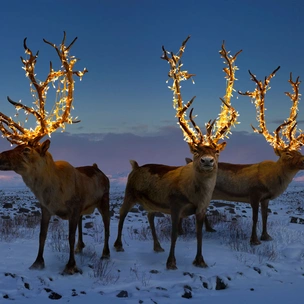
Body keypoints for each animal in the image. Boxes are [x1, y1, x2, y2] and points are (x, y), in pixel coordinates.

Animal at [0, 32, 110, 274]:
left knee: (108, 225)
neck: (51, 190)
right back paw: (81, 247)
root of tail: (98, 168)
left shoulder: (75, 207)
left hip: (104, 200)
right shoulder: (46, 209)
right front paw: (37, 262)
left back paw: (107, 252)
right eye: (15, 146)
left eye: (26, 149)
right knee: (82, 228)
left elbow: (68, 237)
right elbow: (42, 236)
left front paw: (70, 266)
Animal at [114, 36, 240, 270]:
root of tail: (135, 166)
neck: (195, 193)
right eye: (196, 150)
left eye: (216, 151)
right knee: (121, 214)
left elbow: (200, 234)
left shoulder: (201, 209)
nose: (207, 161)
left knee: (149, 217)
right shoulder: (174, 206)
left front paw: (200, 260)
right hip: (129, 192)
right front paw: (171, 262)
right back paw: (117, 245)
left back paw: (156, 246)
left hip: (151, 203)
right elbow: (173, 234)